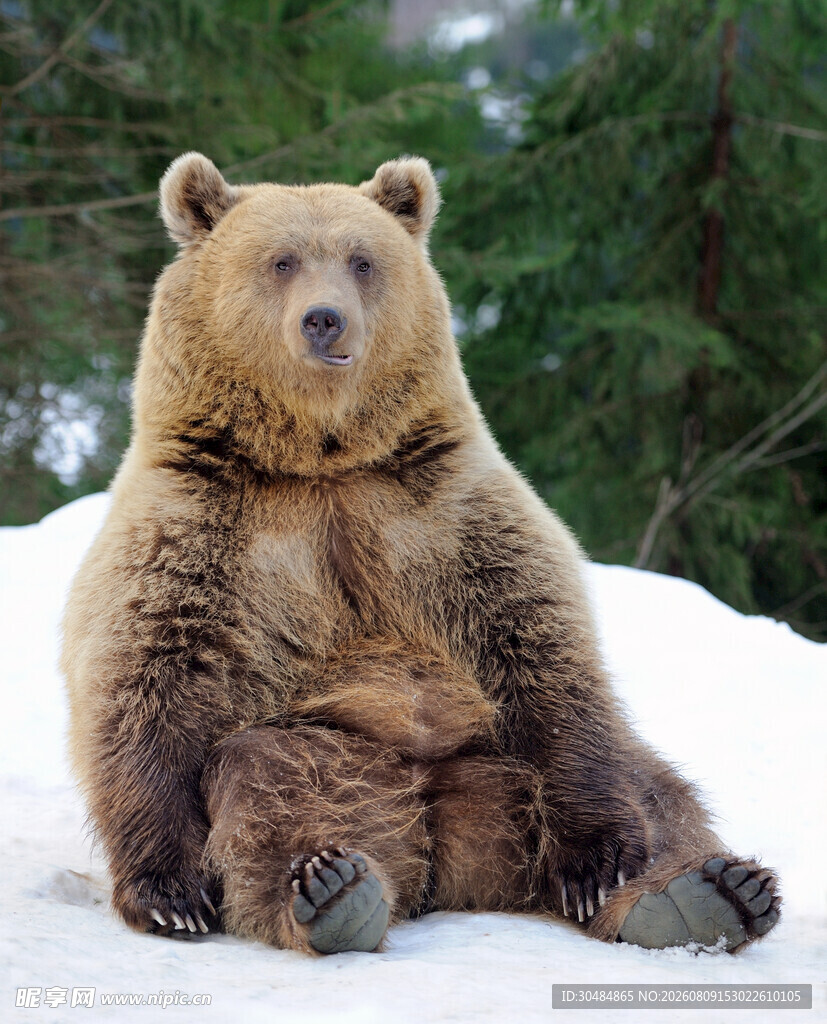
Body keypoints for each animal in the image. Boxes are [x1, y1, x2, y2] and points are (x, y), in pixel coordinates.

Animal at [61, 152, 780, 955]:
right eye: (280, 260)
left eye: (362, 260)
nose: (325, 318)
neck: (322, 459)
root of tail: (442, 847)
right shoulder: (200, 527)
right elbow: (146, 677)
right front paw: (169, 893)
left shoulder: (445, 511)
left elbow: (543, 647)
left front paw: (598, 861)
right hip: (337, 756)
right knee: (267, 781)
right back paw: (333, 890)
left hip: (497, 762)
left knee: (651, 784)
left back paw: (704, 892)